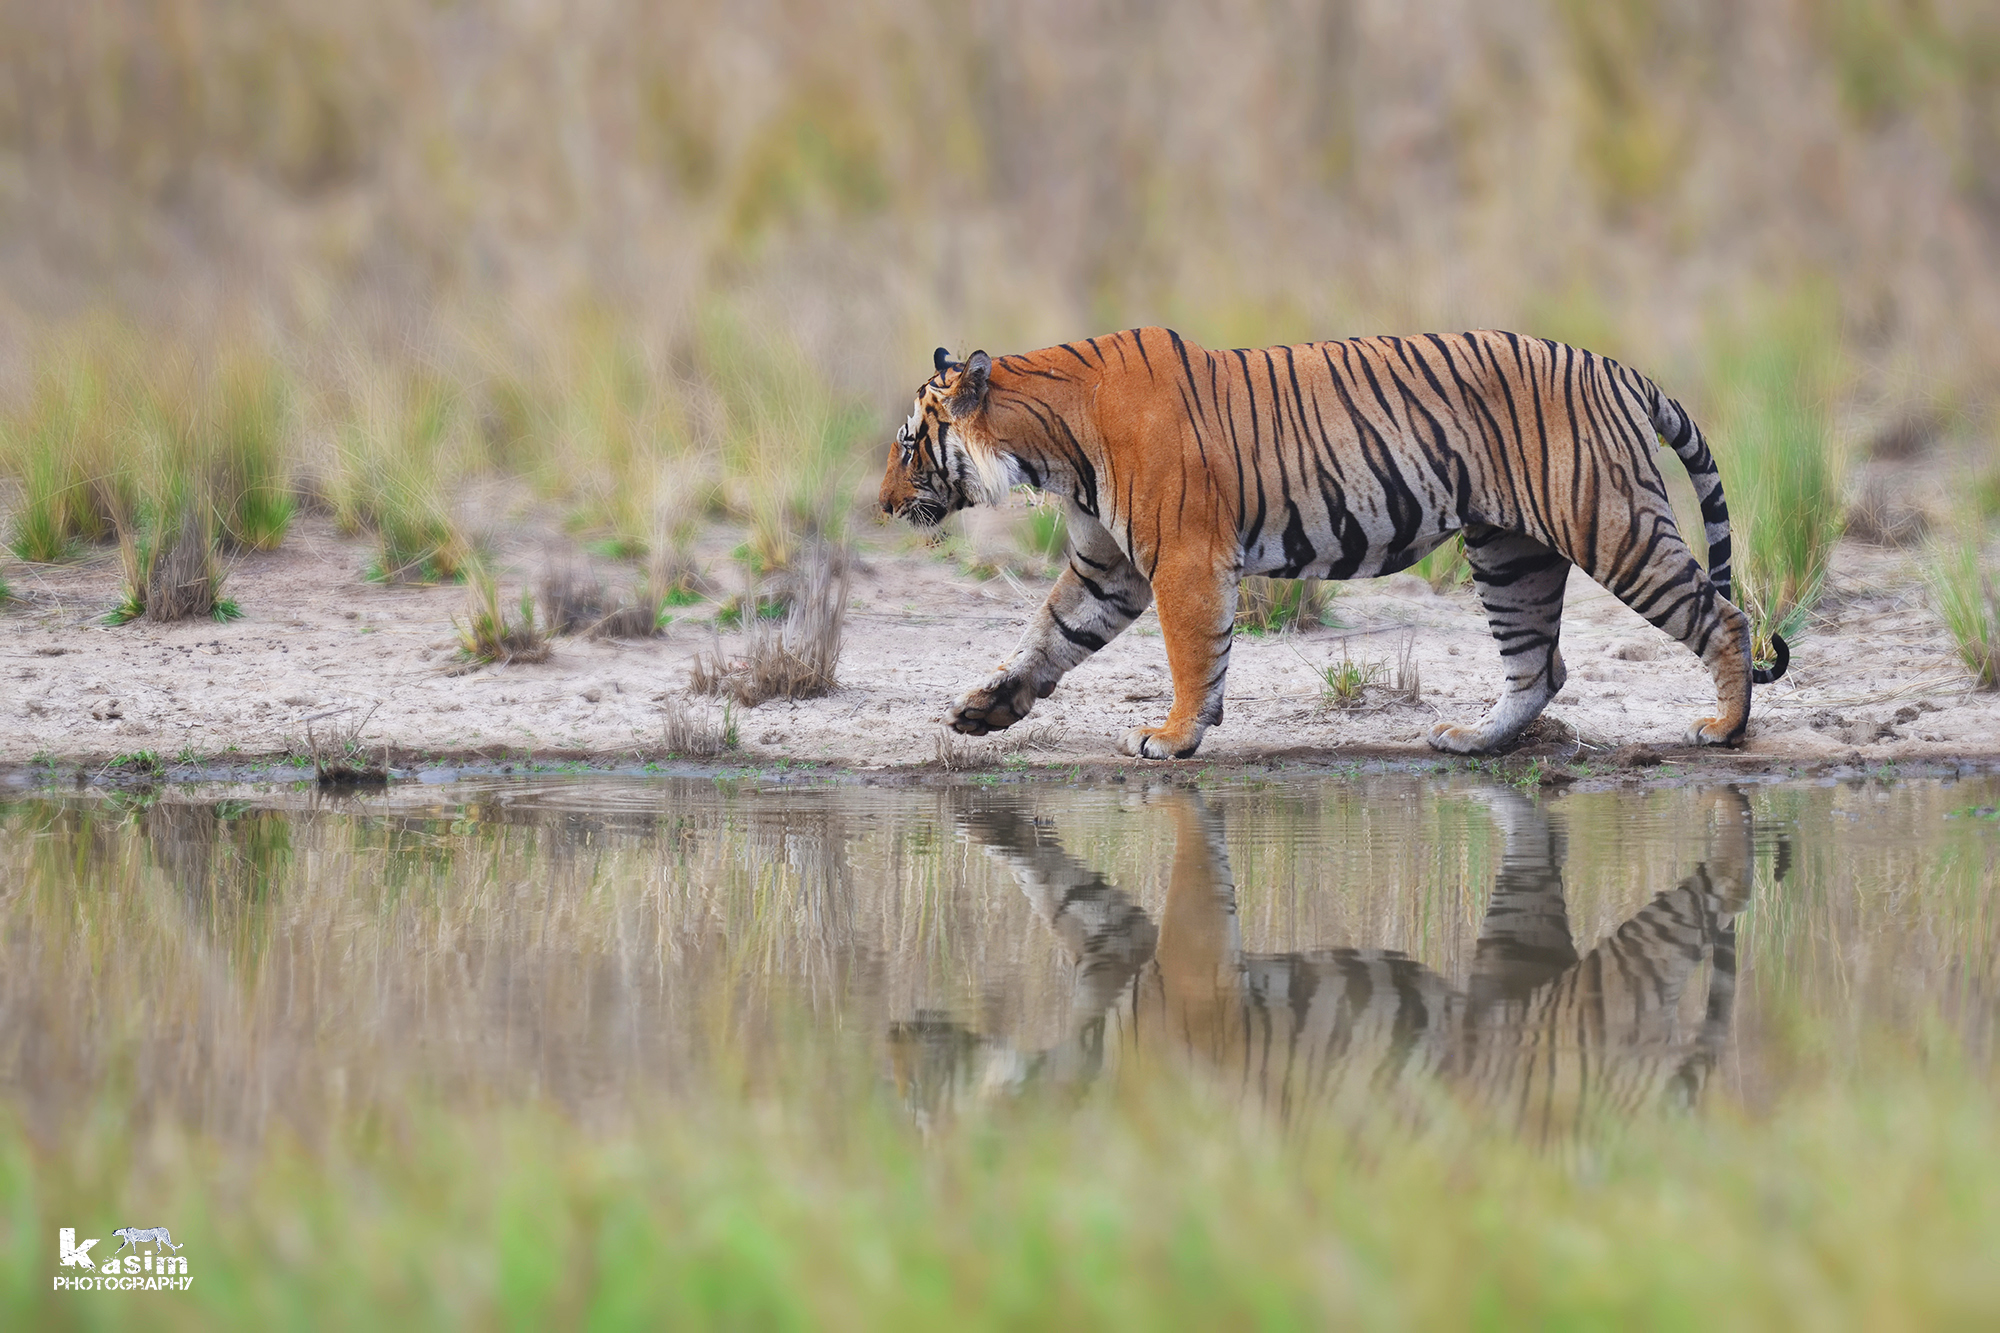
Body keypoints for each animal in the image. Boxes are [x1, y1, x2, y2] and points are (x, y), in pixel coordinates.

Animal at [877, 328, 1790, 758]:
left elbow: (1190, 653)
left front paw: (1173, 735)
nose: (881, 506)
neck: (1049, 443)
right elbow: (1047, 635)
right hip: (1510, 553)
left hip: (1611, 522)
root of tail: (1617, 368)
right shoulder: (1108, 568)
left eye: (908, 444)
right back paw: (1470, 739)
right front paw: (984, 708)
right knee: (1540, 666)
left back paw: (1723, 726)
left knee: (1723, 617)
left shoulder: (1184, 559)